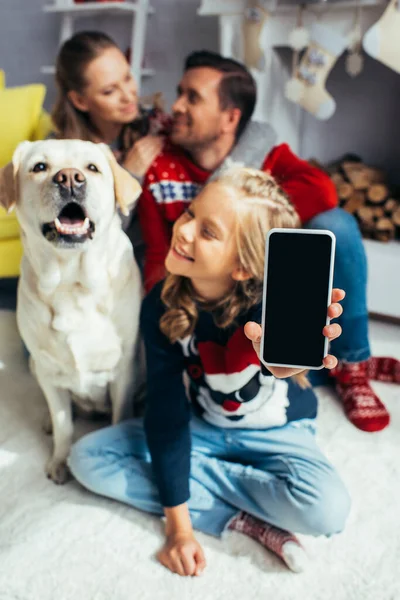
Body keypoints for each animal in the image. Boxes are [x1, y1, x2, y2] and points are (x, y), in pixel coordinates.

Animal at [0, 139, 144, 482]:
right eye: (39, 167)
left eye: (92, 168)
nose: (69, 178)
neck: (72, 283)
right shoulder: (48, 373)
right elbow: (64, 423)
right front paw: (59, 460)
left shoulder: (123, 369)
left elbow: (121, 415)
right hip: (35, 367)